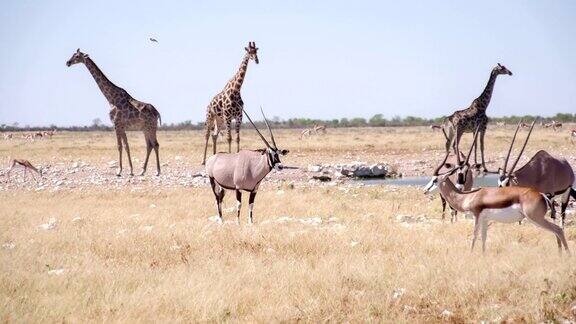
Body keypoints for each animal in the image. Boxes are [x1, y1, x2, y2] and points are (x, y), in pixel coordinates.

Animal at [67, 48, 162, 176]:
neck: (111, 99)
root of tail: (157, 113)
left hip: (151, 127)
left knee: (155, 144)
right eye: (73, 55)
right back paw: (142, 171)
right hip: (145, 129)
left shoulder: (116, 124)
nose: (68, 62)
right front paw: (131, 170)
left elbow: (119, 146)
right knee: (149, 145)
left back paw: (157, 171)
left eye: (77, 56)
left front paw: (119, 171)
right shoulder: (121, 126)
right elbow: (126, 146)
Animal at [426, 130, 568, 254]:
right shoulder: (485, 220)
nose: (425, 190)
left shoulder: (477, 217)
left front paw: (470, 254)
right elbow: (483, 238)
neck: (469, 196)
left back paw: (567, 255)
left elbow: (474, 236)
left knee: (558, 230)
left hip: (535, 218)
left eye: (434, 180)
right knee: (557, 230)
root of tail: (541, 195)